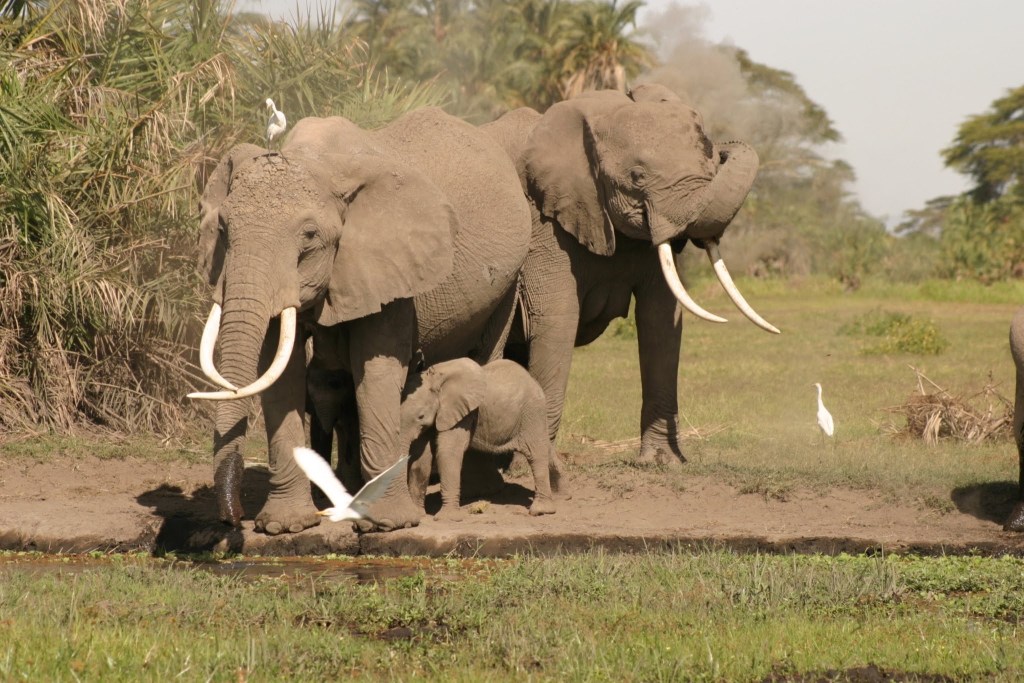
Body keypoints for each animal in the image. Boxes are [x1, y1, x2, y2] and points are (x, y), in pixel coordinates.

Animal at [189, 107, 531, 535]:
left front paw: (386, 525)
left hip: (506, 283)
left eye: (309, 235)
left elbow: (377, 368)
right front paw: (285, 527)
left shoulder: (392, 266)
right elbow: (282, 374)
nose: (232, 519)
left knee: (485, 357)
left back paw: (476, 490)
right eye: (222, 229)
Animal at [400, 358, 561, 520]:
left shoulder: (463, 412)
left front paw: (447, 518)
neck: (434, 379)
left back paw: (540, 511)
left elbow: (449, 451)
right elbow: (421, 457)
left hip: (532, 412)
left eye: (420, 416)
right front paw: (418, 515)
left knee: (536, 454)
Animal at [481, 83, 780, 465]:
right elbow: (557, 319)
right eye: (637, 176)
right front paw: (535, 468)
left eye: (709, 163)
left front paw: (662, 463)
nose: (722, 147)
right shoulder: (541, 222)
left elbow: (660, 321)